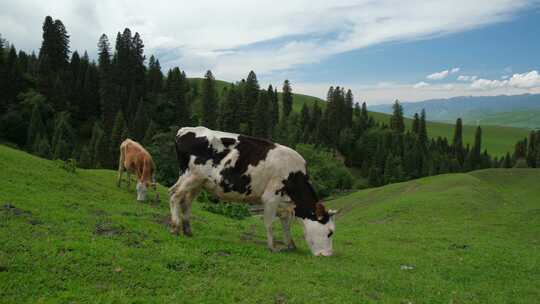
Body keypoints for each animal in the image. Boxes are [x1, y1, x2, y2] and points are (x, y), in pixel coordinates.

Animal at [169, 126, 338, 256]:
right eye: (330, 232)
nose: (328, 255)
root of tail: (185, 130)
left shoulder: (284, 203)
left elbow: (286, 223)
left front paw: (290, 245)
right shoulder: (271, 196)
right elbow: (269, 223)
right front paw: (272, 247)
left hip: (198, 182)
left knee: (186, 201)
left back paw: (188, 230)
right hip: (192, 176)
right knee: (174, 195)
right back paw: (175, 228)